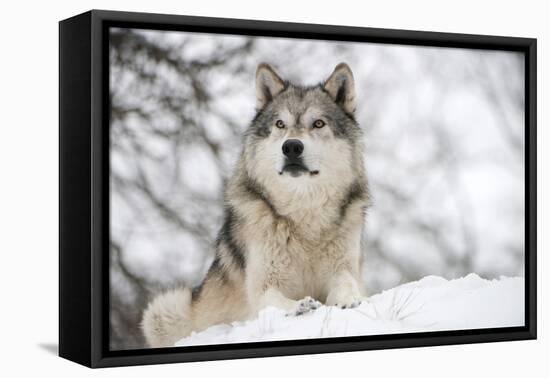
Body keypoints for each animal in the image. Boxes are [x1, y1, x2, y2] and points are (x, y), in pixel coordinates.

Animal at [143, 62, 370, 348]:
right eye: (280, 124)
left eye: (318, 123)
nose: (291, 146)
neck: (303, 216)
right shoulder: (261, 286)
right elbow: (273, 299)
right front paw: (299, 306)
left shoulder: (344, 268)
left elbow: (347, 284)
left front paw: (348, 300)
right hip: (164, 308)